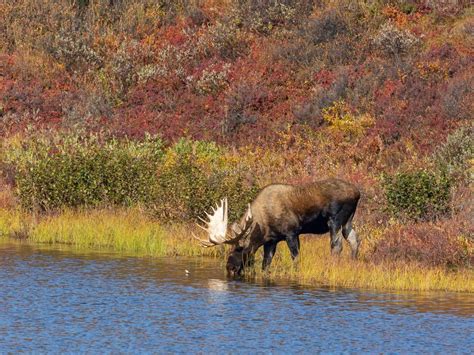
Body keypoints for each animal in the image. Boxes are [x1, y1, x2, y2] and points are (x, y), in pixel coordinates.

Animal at [192, 179, 360, 276]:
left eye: (240, 248)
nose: (230, 267)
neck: (263, 226)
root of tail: (358, 193)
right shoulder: (271, 241)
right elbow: (265, 264)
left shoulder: (291, 232)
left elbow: (295, 257)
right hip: (348, 221)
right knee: (355, 240)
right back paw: (353, 264)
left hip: (335, 220)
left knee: (336, 245)